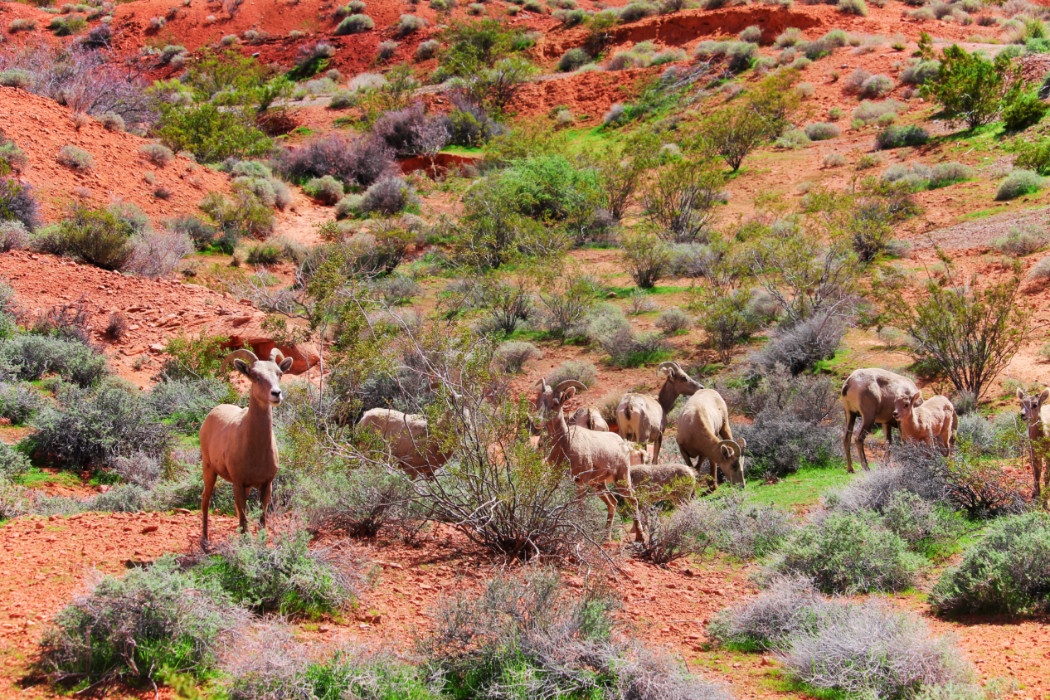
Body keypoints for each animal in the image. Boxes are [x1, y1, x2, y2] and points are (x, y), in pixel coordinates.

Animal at [200, 348, 293, 546]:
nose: (276, 394)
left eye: (279, 374)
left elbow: (261, 518)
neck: (255, 451)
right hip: (209, 468)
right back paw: (205, 541)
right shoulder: (238, 483)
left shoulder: (265, 484)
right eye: (255, 376)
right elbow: (243, 519)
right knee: (205, 499)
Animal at [536, 378, 644, 542]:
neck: (565, 445)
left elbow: (579, 507)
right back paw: (607, 537)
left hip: (622, 479)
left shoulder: (581, 481)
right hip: (598, 484)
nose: (537, 420)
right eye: (539, 400)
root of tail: (623, 444)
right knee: (613, 502)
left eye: (555, 403)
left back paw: (640, 537)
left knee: (633, 501)